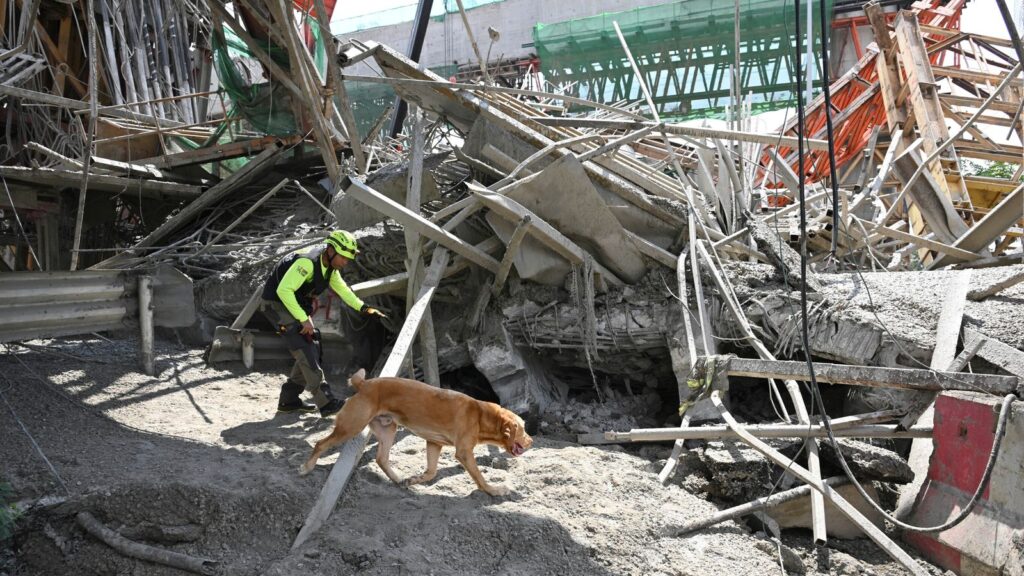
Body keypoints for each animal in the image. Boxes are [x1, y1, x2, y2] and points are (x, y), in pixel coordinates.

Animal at [299, 366, 532, 494]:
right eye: (523, 428)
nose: (532, 441)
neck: (481, 415)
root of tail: (364, 384)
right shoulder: (464, 453)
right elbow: (480, 477)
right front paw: (494, 491)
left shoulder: (434, 444)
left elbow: (431, 472)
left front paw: (414, 480)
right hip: (350, 427)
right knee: (320, 443)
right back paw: (307, 467)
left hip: (388, 429)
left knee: (381, 459)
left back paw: (398, 480)